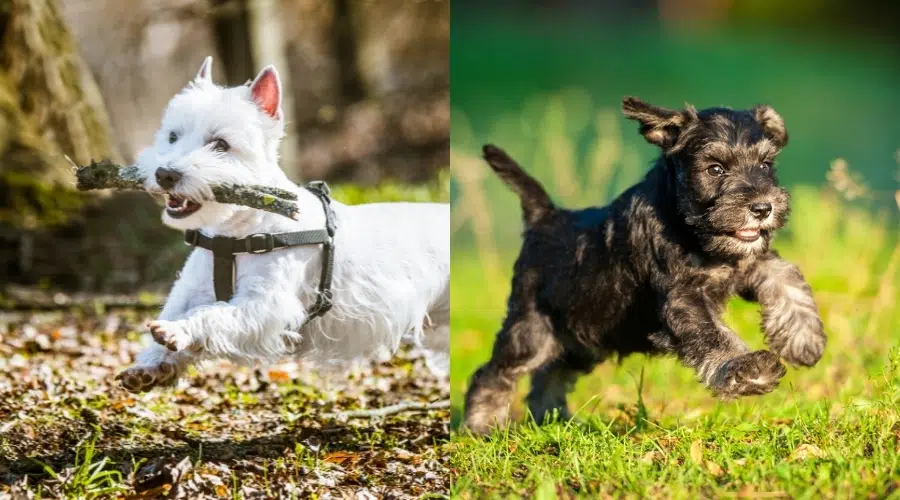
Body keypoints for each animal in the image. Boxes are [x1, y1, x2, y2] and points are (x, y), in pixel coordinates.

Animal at [116, 56, 450, 392]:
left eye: (221, 144)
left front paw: (177, 331)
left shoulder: (266, 305)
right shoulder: (191, 287)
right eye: (172, 136)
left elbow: (213, 314)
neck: (235, 234)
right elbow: (177, 310)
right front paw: (148, 366)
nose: (165, 174)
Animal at [468, 96, 828, 434]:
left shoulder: (749, 263)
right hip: (532, 330)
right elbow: (713, 335)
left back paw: (554, 419)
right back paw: (483, 425)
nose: (763, 207)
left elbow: (786, 276)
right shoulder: (683, 298)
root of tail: (543, 217)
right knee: (493, 373)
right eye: (715, 169)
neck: (688, 226)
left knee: (549, 374)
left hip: (583, 338)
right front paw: (748, 369)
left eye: (766, 164)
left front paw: (803, 338)